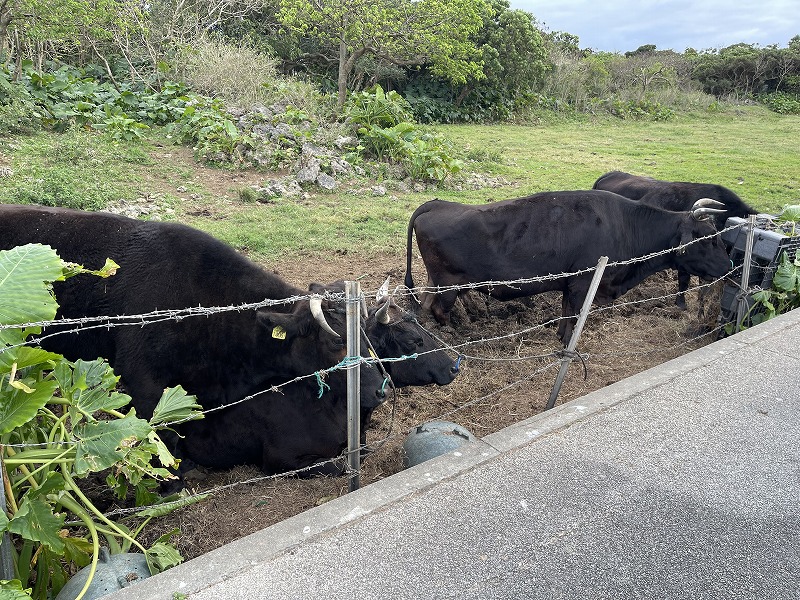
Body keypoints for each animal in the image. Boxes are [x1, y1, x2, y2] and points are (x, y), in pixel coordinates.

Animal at [404, 190, 736, 344]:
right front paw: (566, 344)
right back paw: (452, 337)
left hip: (438, 282)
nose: (730, 264)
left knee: (425, 306)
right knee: (435, 309)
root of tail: (437, 203)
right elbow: (573, 318)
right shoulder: (583, 283)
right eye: (707, 239)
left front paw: (560, 337)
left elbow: (565, 314)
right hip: (447, 283)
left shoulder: (570, 284)